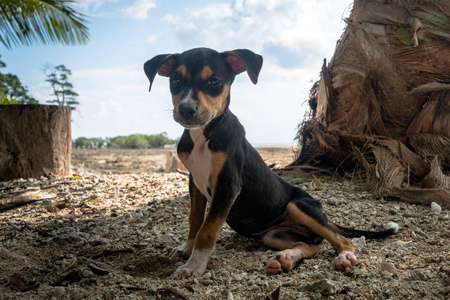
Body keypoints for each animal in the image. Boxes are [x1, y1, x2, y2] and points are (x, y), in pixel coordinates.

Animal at [143, 47, 398, 278]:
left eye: (214, 81)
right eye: (175, 80)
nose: (186, 109)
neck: (204, 135)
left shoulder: (227, 186)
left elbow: (207, 229)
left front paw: (194, 266)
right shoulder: (194, 183)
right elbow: (195, 220)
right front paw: (187, 249)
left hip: (299, 206)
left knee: (341, 239)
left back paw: (344, 257)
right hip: (273, 235)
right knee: (310, 246)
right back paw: (286, 259)